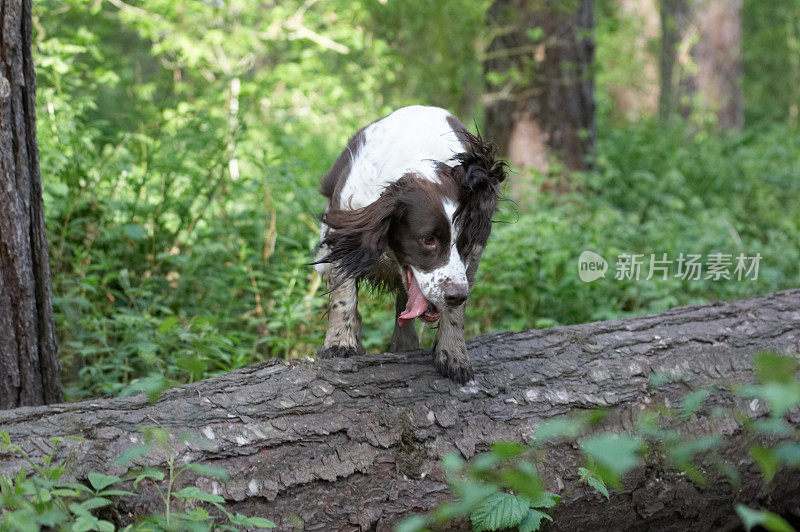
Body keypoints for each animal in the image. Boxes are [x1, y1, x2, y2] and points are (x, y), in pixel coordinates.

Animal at [312, 106, 506, 382]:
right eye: (428, 240)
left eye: (465, 242)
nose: (455, 295)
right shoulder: (344, 228)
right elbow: (343, 296)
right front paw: (340, 343)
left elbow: (456, 310)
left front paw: (453, 354)